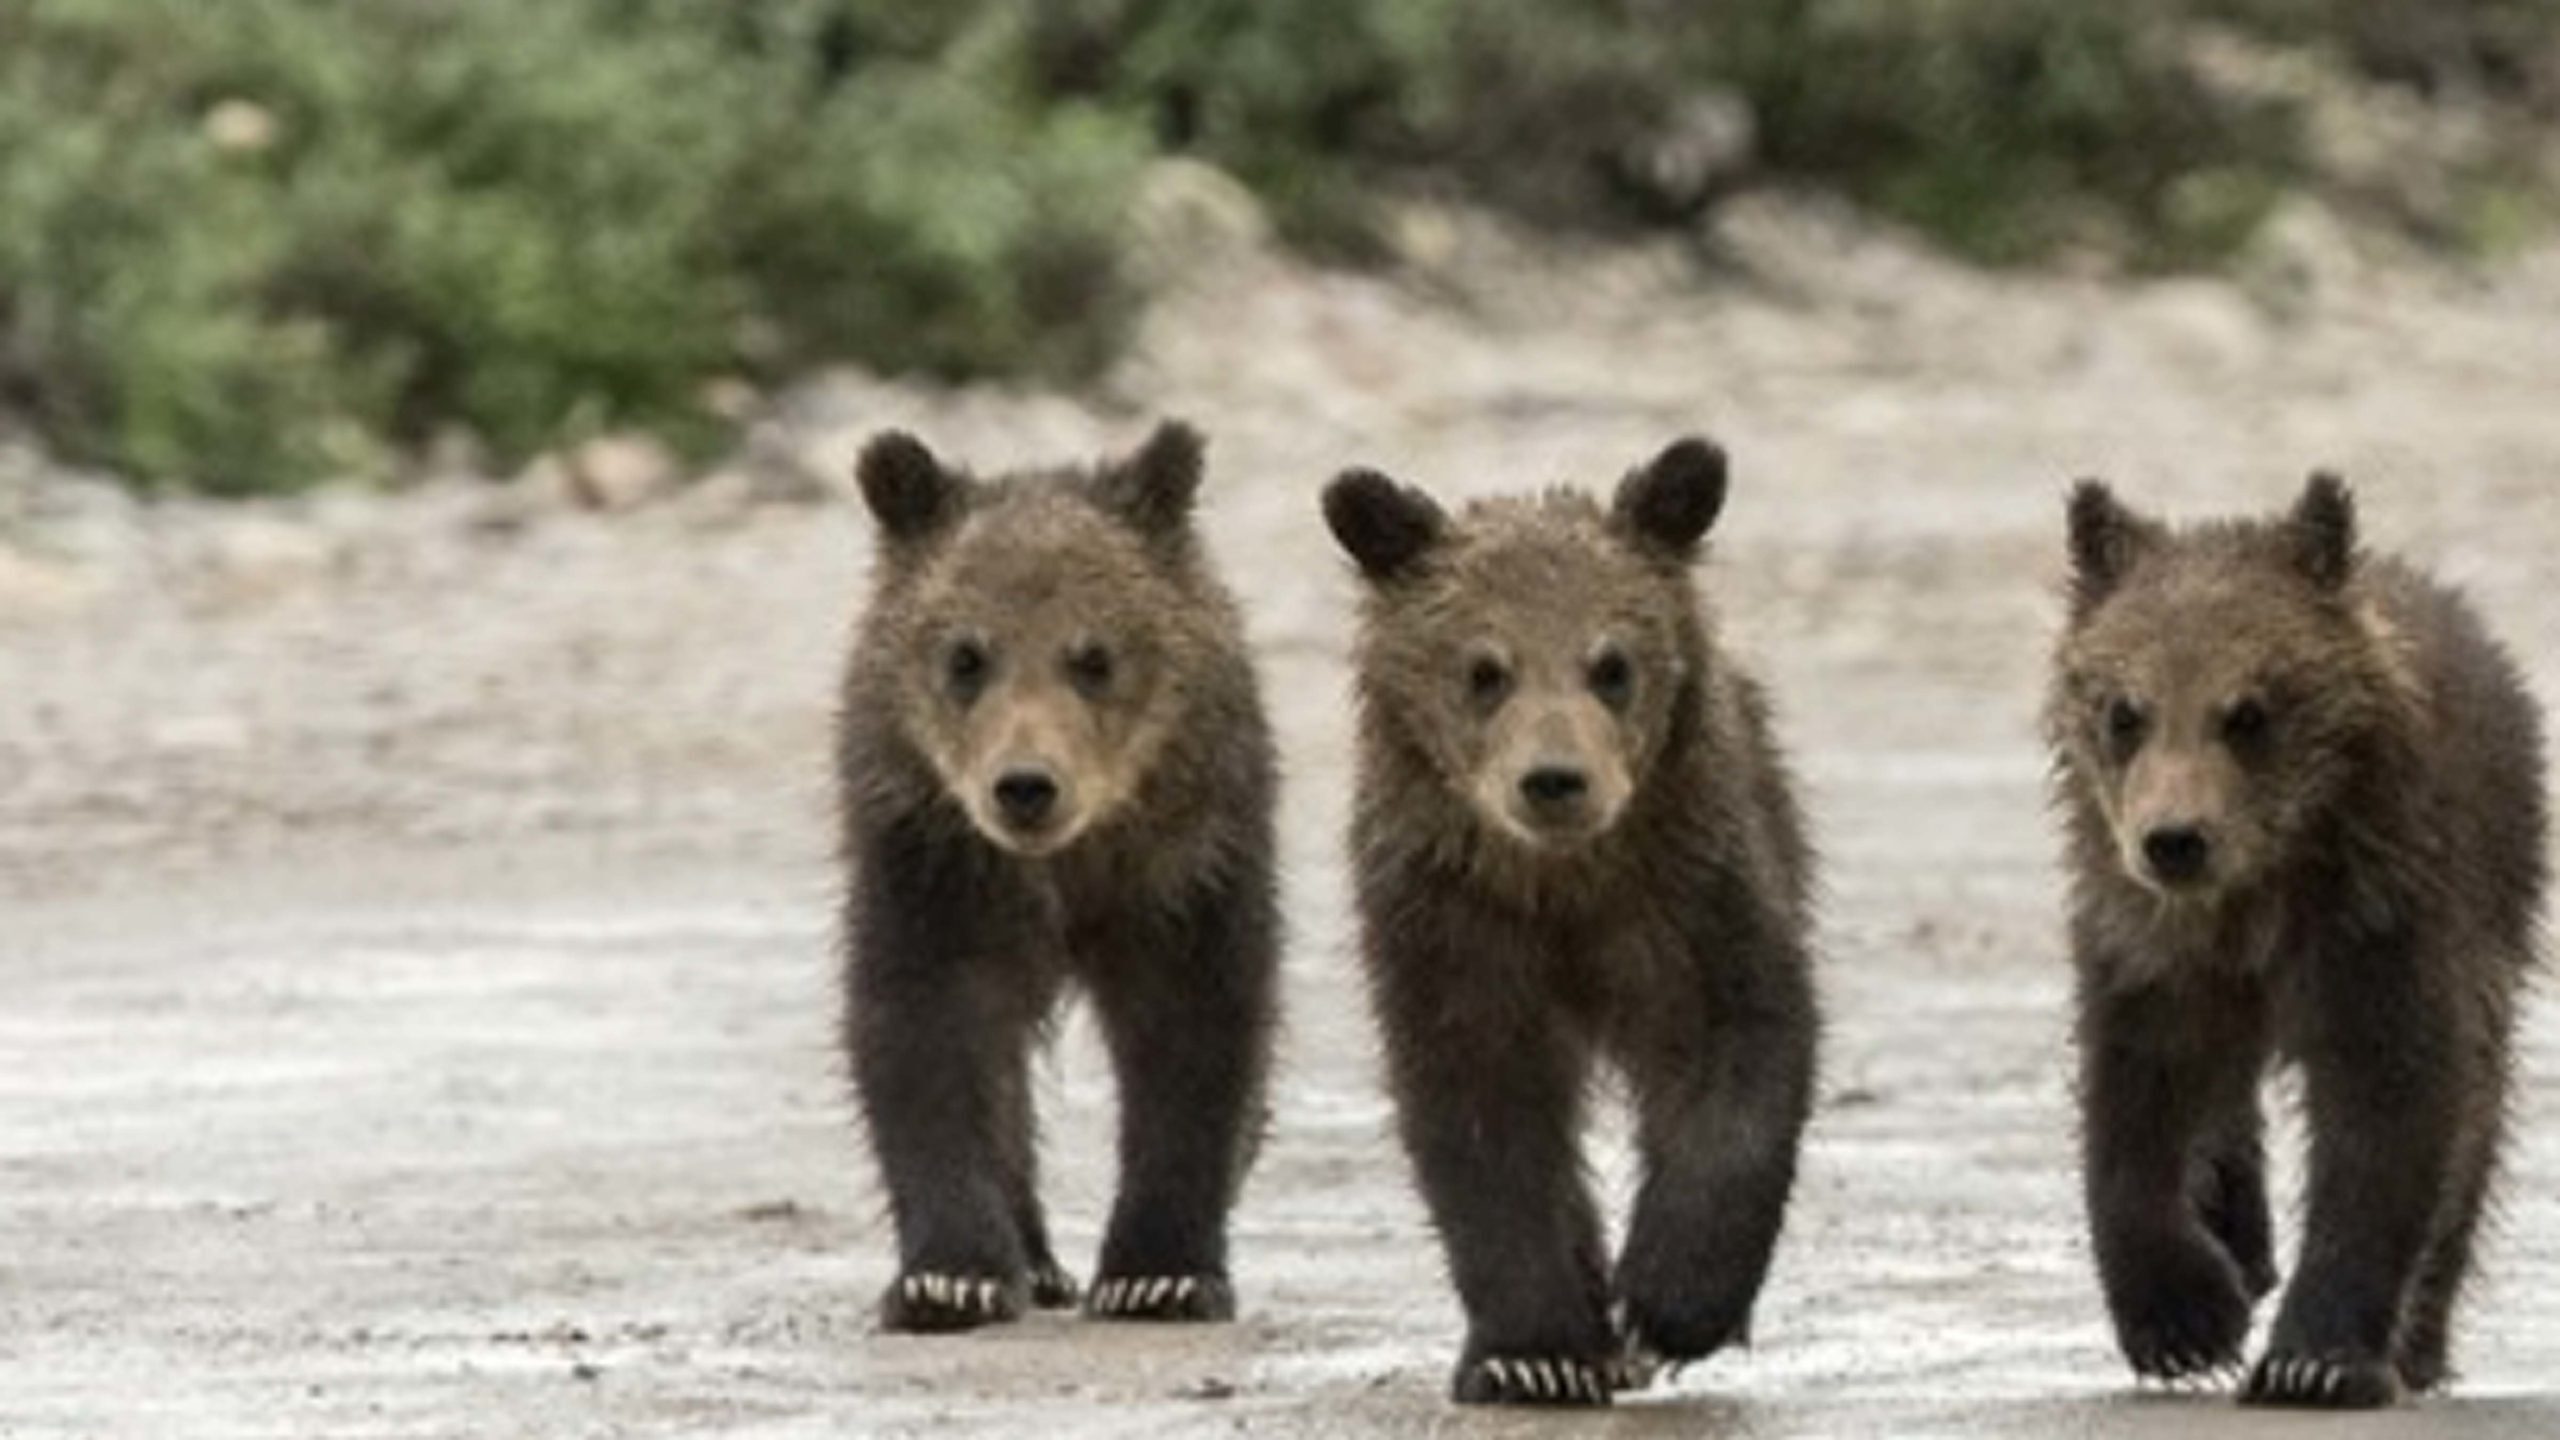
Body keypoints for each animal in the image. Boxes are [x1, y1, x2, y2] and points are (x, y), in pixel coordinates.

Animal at [838, 420, 1280, 1333]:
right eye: (966, 656)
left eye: (1094, 657)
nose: (1026, 786)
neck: (1067, 864)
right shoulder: (932, 859)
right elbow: (926, 1029)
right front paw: (951, 1278)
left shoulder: (1185, 863)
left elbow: (1195, 1032)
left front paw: (1159, 1275)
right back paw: (1036, 1263)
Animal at [1321, 438, 1819, 1408]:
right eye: (1483, 669)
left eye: (1612, 663)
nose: (1554, 779)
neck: (1561, 885)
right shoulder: (1451, 924)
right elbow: (1480, 1115)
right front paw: (1534, 1351)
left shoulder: (1689, 894)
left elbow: (1741, 1052)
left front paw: (1666, 1305)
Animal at [2049, 473, 2546, 1408]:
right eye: (2124, 710)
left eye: (2248, 711)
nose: (2175, 840)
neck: (2256, 894)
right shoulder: (2146, 941)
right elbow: (2135, 1098)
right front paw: (2183, 1321)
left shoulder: (2380, 921)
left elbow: (2387, 1111)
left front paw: (2314, 1360)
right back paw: (2241, 1240)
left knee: (2477, 1117)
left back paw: (2418, 1339)